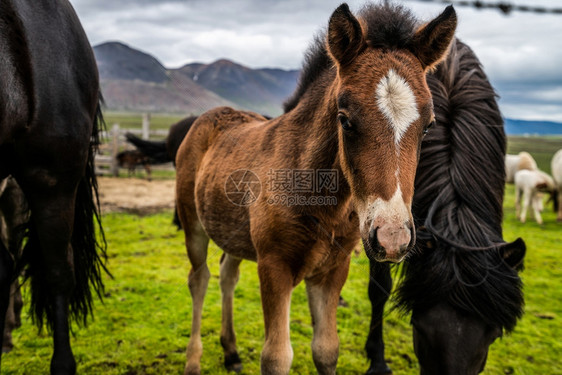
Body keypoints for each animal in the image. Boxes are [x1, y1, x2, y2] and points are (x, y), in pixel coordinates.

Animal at [175, 2, 456, 375]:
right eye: (345, 120)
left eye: (428, 126)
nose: (392, 238)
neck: (325, 203)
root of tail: (209, 117)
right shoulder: (274, 266)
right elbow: (276, 357)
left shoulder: (332, 269)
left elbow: (326, 350)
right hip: (192, 224)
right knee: (199, 279)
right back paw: (194, 360)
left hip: (232, 230)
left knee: (226, 275)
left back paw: (231, 351)